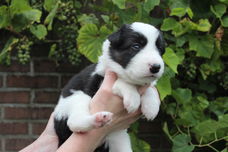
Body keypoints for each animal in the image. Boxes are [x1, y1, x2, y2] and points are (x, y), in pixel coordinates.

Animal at [54, 22, 167, 151]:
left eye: (159, 50)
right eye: (136, 46)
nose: (156, 67)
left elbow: (151, 89)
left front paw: (151, 107)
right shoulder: (98, 81)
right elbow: (121, 82)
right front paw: (133, 98)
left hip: (119, 139)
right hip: (76, 99)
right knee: (74, 122)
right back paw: (98, 119)